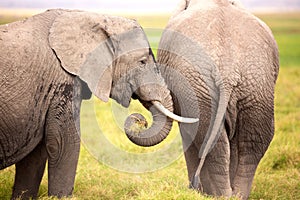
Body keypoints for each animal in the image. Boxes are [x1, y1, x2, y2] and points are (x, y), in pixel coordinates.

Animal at [124, 0, 278, 200]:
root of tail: (228, 70)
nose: (139, 121)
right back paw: (234, 195)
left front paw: (195, 190)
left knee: (206, 135)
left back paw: (219, 194)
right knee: (253, 141)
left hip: (208, 88)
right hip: (253, 86)